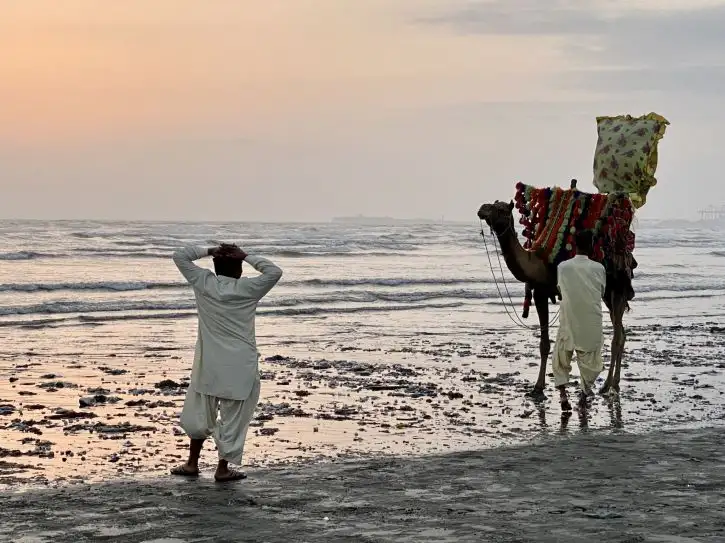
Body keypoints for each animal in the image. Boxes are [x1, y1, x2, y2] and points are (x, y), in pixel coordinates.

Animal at [476, 198, 628, 398]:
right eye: (491, 205)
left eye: (501, 210)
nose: (482, 209)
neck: (535, 262)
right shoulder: (539, 293)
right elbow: (544, 343)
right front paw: (539, 386)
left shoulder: (542, 292)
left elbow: (545, 343)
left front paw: (538, 387)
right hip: (609, 296)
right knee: (622, 333)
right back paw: (614, 383)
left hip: (617, 290)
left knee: (617, 336)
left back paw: (607, 385)